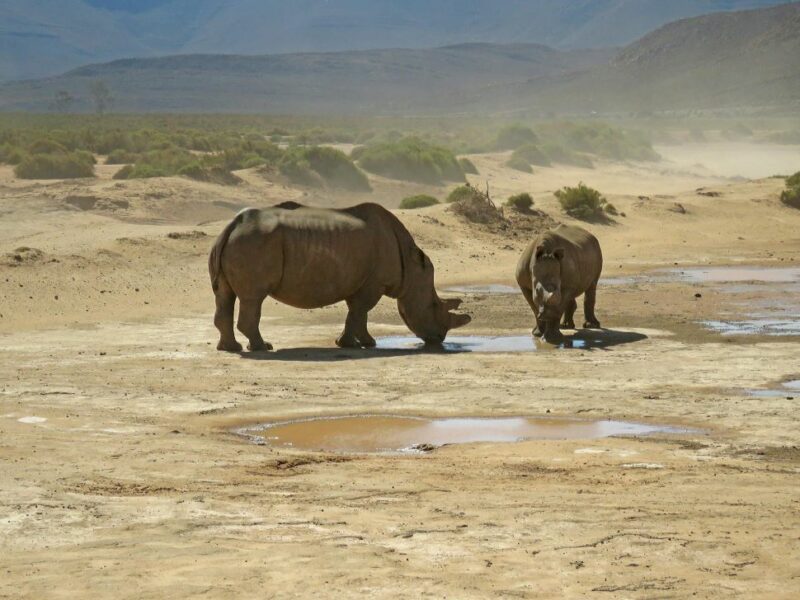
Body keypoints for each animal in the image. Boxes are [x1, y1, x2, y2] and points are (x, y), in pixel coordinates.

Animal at [208, 202, 471, 351]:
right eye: (434, 305)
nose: (439, 338)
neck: (412, 267)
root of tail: (232, 225)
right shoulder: (373, 283)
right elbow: (359, 312)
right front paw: (352, 344)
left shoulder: (360, 280)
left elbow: (358, 313)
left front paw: (366, 343)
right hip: (253, 242)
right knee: (254, 297)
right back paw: (262, 348)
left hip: (240, 242)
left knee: (225, 295)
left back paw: (230, 349)